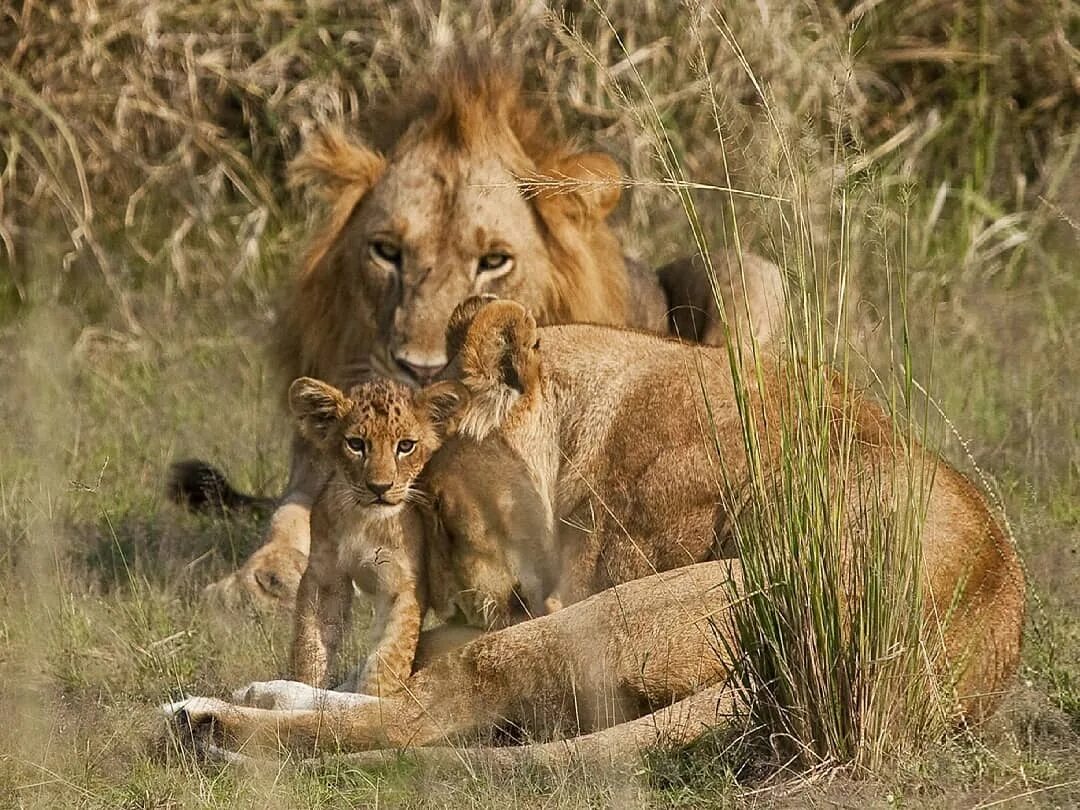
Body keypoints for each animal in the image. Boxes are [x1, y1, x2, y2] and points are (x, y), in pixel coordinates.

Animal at [164, 298, 1023, 768]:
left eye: (429, 499)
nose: (442, 590)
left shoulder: (578, 591)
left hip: (647, 605)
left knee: (423, 711)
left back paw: (207, 723)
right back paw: (252, 696)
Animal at [179, 58, 786, 613]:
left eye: (494, 261)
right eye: (386, 252)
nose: (421, 368)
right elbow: (290, 517)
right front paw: (259, 580)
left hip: (749, 272)